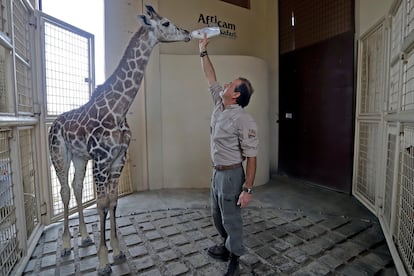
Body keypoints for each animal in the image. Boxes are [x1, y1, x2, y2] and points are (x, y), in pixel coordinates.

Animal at [47, 5, 190, 274]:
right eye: (166, 23)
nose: (187, 33)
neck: (119, 109)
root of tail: (53, 124)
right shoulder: (101, 159)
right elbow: (101, 203)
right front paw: (104, 261)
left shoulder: (118, 158)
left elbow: (113, 201)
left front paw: (118, 250)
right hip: (59, 155)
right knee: (64, 190)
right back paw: (66, 245)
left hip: (79, 157)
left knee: (77, 186)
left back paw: (85, 237)